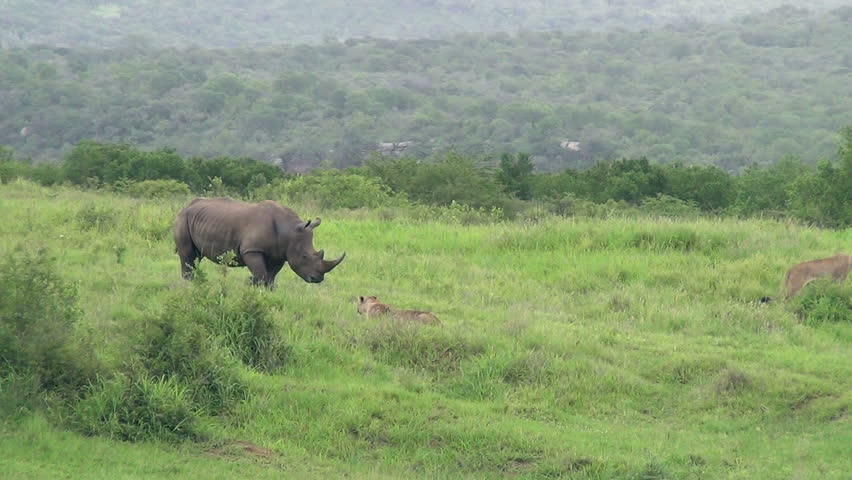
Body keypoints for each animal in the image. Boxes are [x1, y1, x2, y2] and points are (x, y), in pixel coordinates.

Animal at [174, 197, 345, 287]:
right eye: (304, 256)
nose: (317, 279)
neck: (289, 231)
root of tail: (185, 207)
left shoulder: (280, 253)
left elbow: (271, 277)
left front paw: (267, 291)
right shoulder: (251, 250)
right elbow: (261, 274)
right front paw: (254, 286)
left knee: (196, 257)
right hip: (183, 219)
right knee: (188, 256)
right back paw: (189, 285)